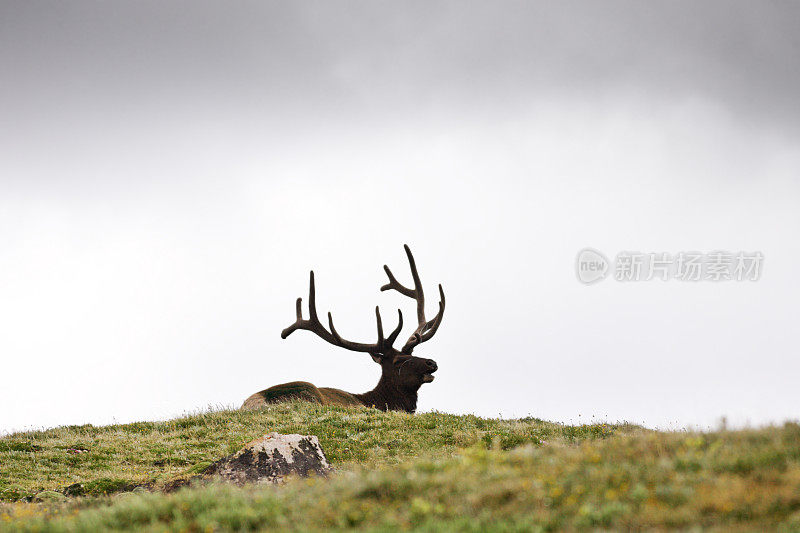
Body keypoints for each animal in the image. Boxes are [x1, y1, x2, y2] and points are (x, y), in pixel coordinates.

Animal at [241, 243, 446, 414]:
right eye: (397, 361)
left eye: (412, 354)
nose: (431, 363)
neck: (378, 402)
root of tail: (250, 403)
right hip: (307, 390)